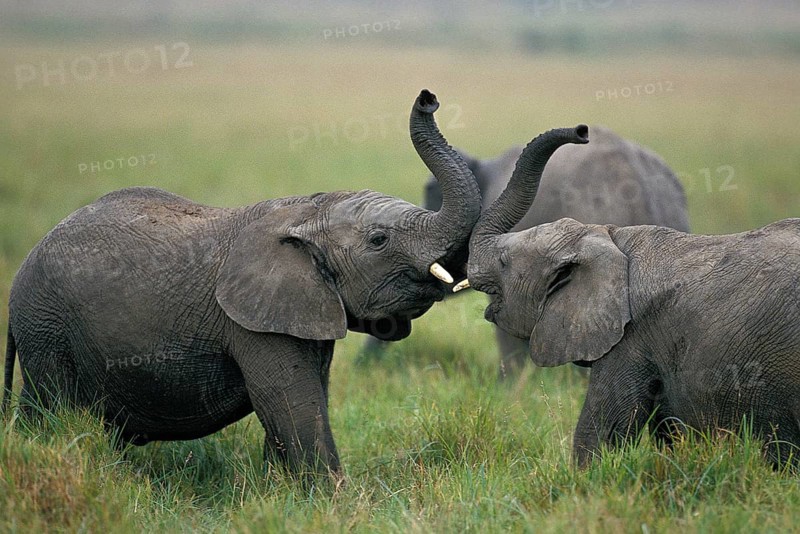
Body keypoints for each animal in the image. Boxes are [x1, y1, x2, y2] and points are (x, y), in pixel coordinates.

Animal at [2, 90, 481, 478]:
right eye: (379, 240)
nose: (429, 98)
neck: (306, 209)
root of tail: (21, 273)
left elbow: (307, 399)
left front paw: (281, 491)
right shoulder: (251, 322)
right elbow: (292, 403)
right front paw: (332, 500)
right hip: (47, 326)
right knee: (54, 406)